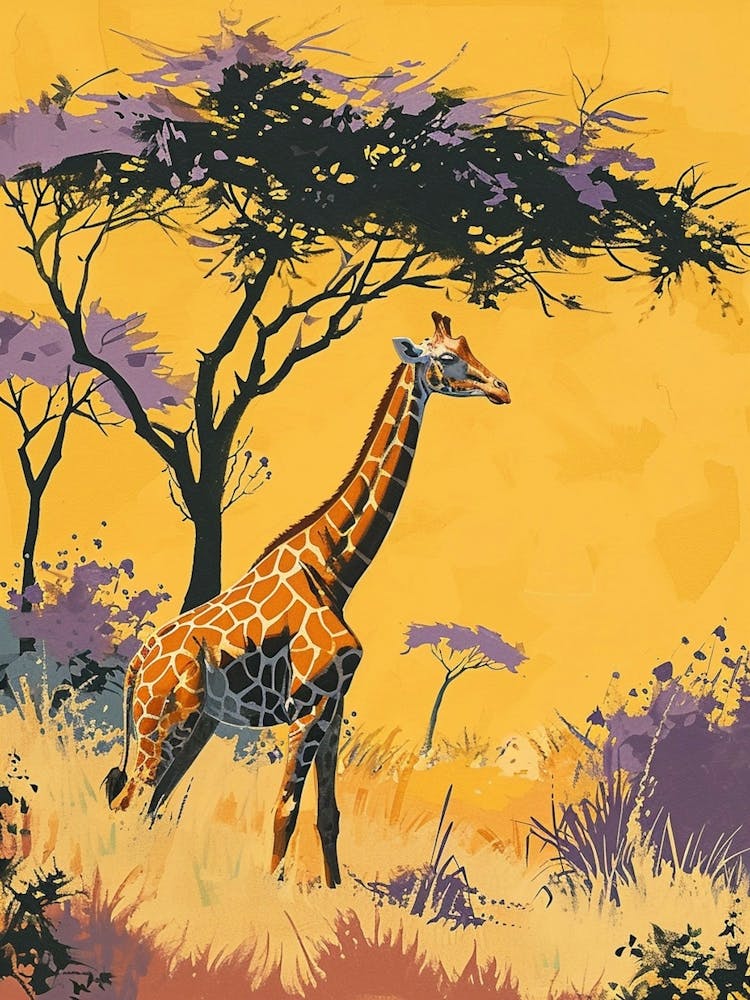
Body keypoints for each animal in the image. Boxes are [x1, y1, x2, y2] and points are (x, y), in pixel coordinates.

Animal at [104, 311, 510, 887]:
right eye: (448, 358)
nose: (501, 388)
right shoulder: (307, 704)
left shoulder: (334, 705)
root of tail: (136, 667)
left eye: (469, 347)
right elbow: (285, 811)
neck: (336, 568)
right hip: (162, 722)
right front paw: (271, 893)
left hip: (197, 724)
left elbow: (328, 814)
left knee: (151, 803)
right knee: (132, 799)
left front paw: (333, 892)